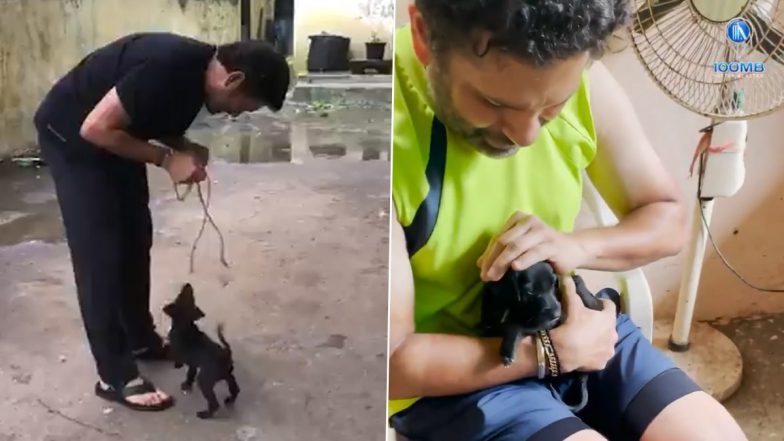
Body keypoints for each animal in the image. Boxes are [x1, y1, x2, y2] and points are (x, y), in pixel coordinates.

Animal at [162, 284, 239, 418]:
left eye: (180, 296)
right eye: (188, 296)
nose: (188, 284)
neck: (185, 325)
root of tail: (226, 353)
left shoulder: (178, 351)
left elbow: (177, 357)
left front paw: (177, 365)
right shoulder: (193, 364)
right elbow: (190, 374)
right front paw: (187, 384)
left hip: (204, 380)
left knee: (214, 404)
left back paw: (205, 414)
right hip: (227, 375)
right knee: (235, 388)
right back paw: (230, 400)